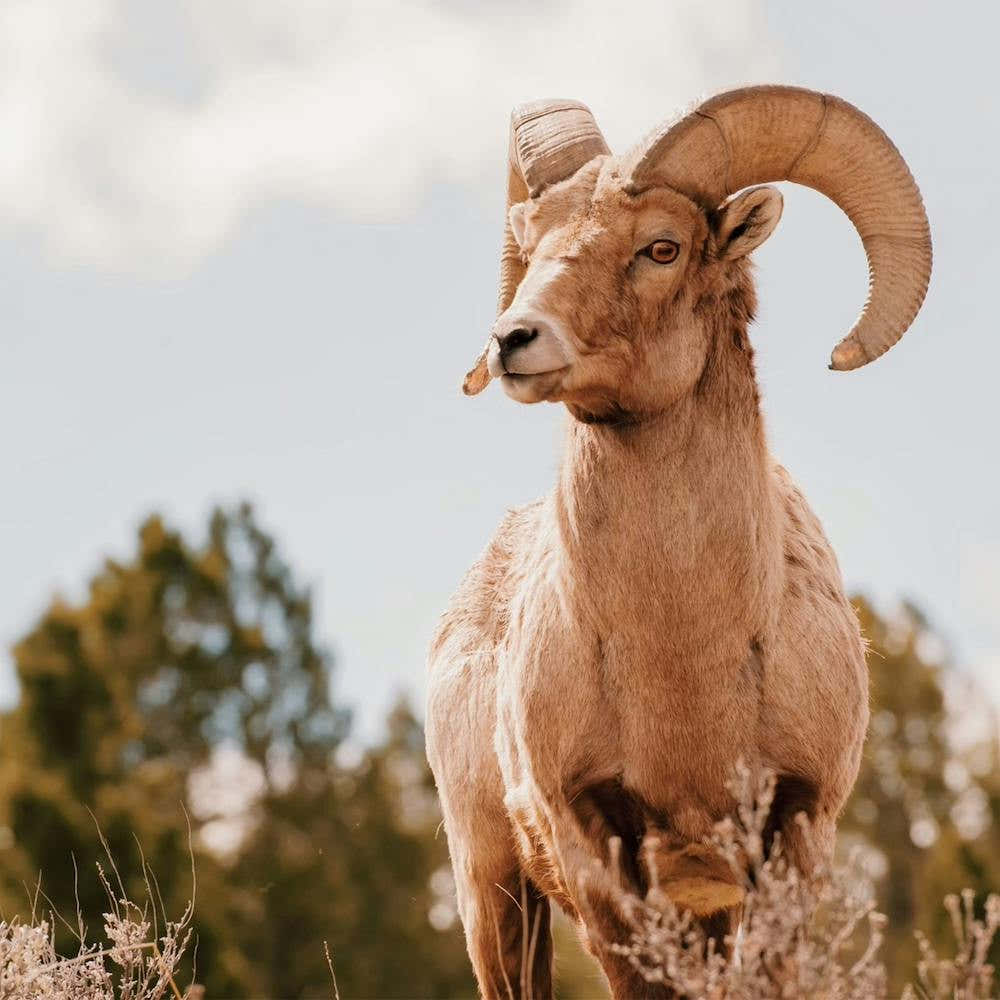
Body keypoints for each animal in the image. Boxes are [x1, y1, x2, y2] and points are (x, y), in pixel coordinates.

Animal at [426, 86, 931, 1000]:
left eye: (662, 247)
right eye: (532, 239)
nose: (511, 342)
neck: (686, 673)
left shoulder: (791, 836)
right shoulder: (598, 856)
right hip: (494, 889)